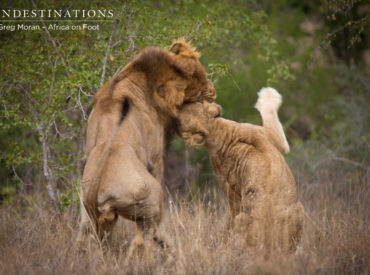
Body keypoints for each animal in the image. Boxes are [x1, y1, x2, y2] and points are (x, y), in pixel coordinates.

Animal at [79, 40, 217, 250]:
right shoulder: (156, 159)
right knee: (144, 237)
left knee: (90, 235)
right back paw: (165, 243)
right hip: (150, 199)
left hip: (90, 209)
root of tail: (99, 191)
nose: (213, 90)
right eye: (198, 77)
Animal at [176, 88, 304, 252]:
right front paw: (268, 93)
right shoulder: (274, 138)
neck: (217, 134)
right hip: (295, 208)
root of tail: (269, 246)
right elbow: (269, 112)